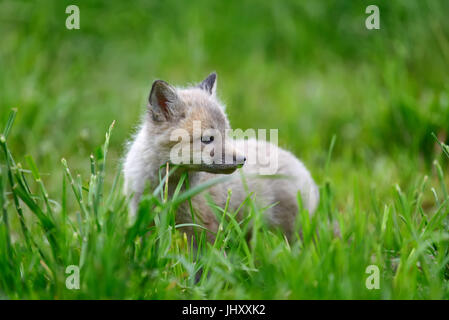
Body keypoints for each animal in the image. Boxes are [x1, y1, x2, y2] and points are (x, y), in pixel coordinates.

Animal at [122, 72, 318, 241]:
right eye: (208, 139)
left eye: (226, 133)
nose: (242, 160)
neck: (168, 190)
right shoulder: (143, 221)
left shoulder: (203, 228)